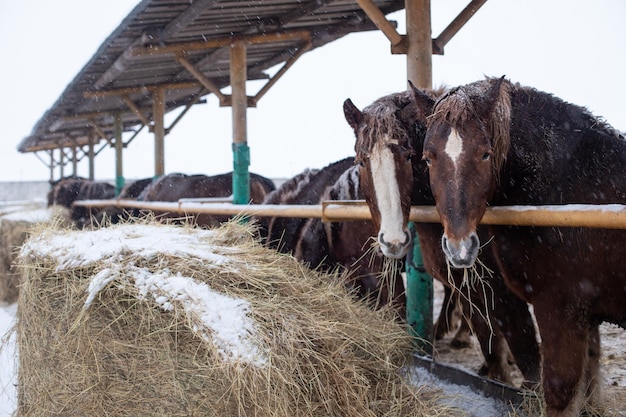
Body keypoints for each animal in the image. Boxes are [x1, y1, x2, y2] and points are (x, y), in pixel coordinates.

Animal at [420, 75, 624, 416]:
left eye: (486, 154)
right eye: (428, 157)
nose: (459, 247)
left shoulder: (561, 307)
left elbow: (558, 391)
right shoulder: (586, 317)